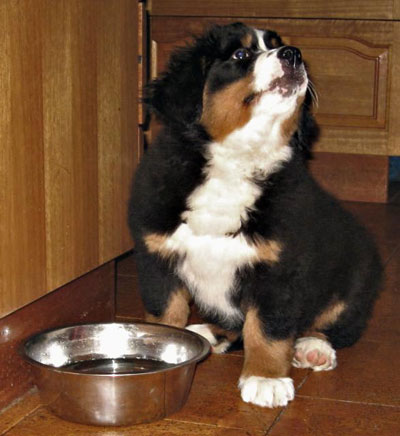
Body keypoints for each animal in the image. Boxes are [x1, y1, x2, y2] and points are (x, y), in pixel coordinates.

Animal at [127, 23, 382, 408]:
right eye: (241, 55)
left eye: (278, 46)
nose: (293, 54)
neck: (237, 158)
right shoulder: (158, 257)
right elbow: (166, 313)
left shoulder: (280, 268)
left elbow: (267, 328)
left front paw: (265, 377)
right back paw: (207, 333)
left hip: (356, 275)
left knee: (336, 325)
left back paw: (313, 347)